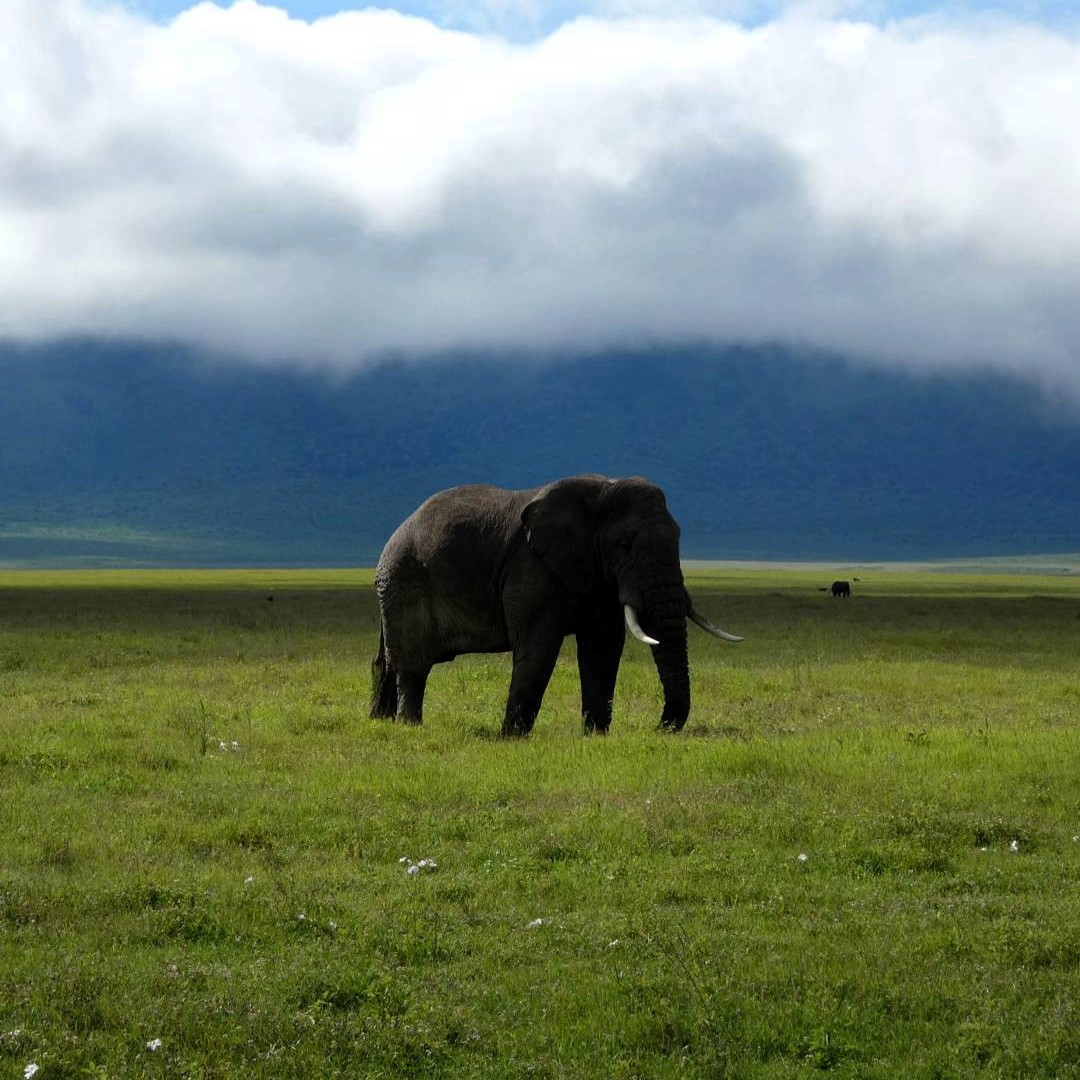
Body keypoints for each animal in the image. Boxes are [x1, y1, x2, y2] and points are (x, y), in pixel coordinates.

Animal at [370, 474, 742, 736]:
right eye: (624, 544)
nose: (659, 727)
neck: (602, 491)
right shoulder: (532, 566)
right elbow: (538, 647)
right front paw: (512, 738)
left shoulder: (599, 576)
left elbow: (603, 649)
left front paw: (595, 737)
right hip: (405, 580)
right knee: (413, 666)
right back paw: (410, 727)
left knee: (387, 661)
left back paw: (381, 722)